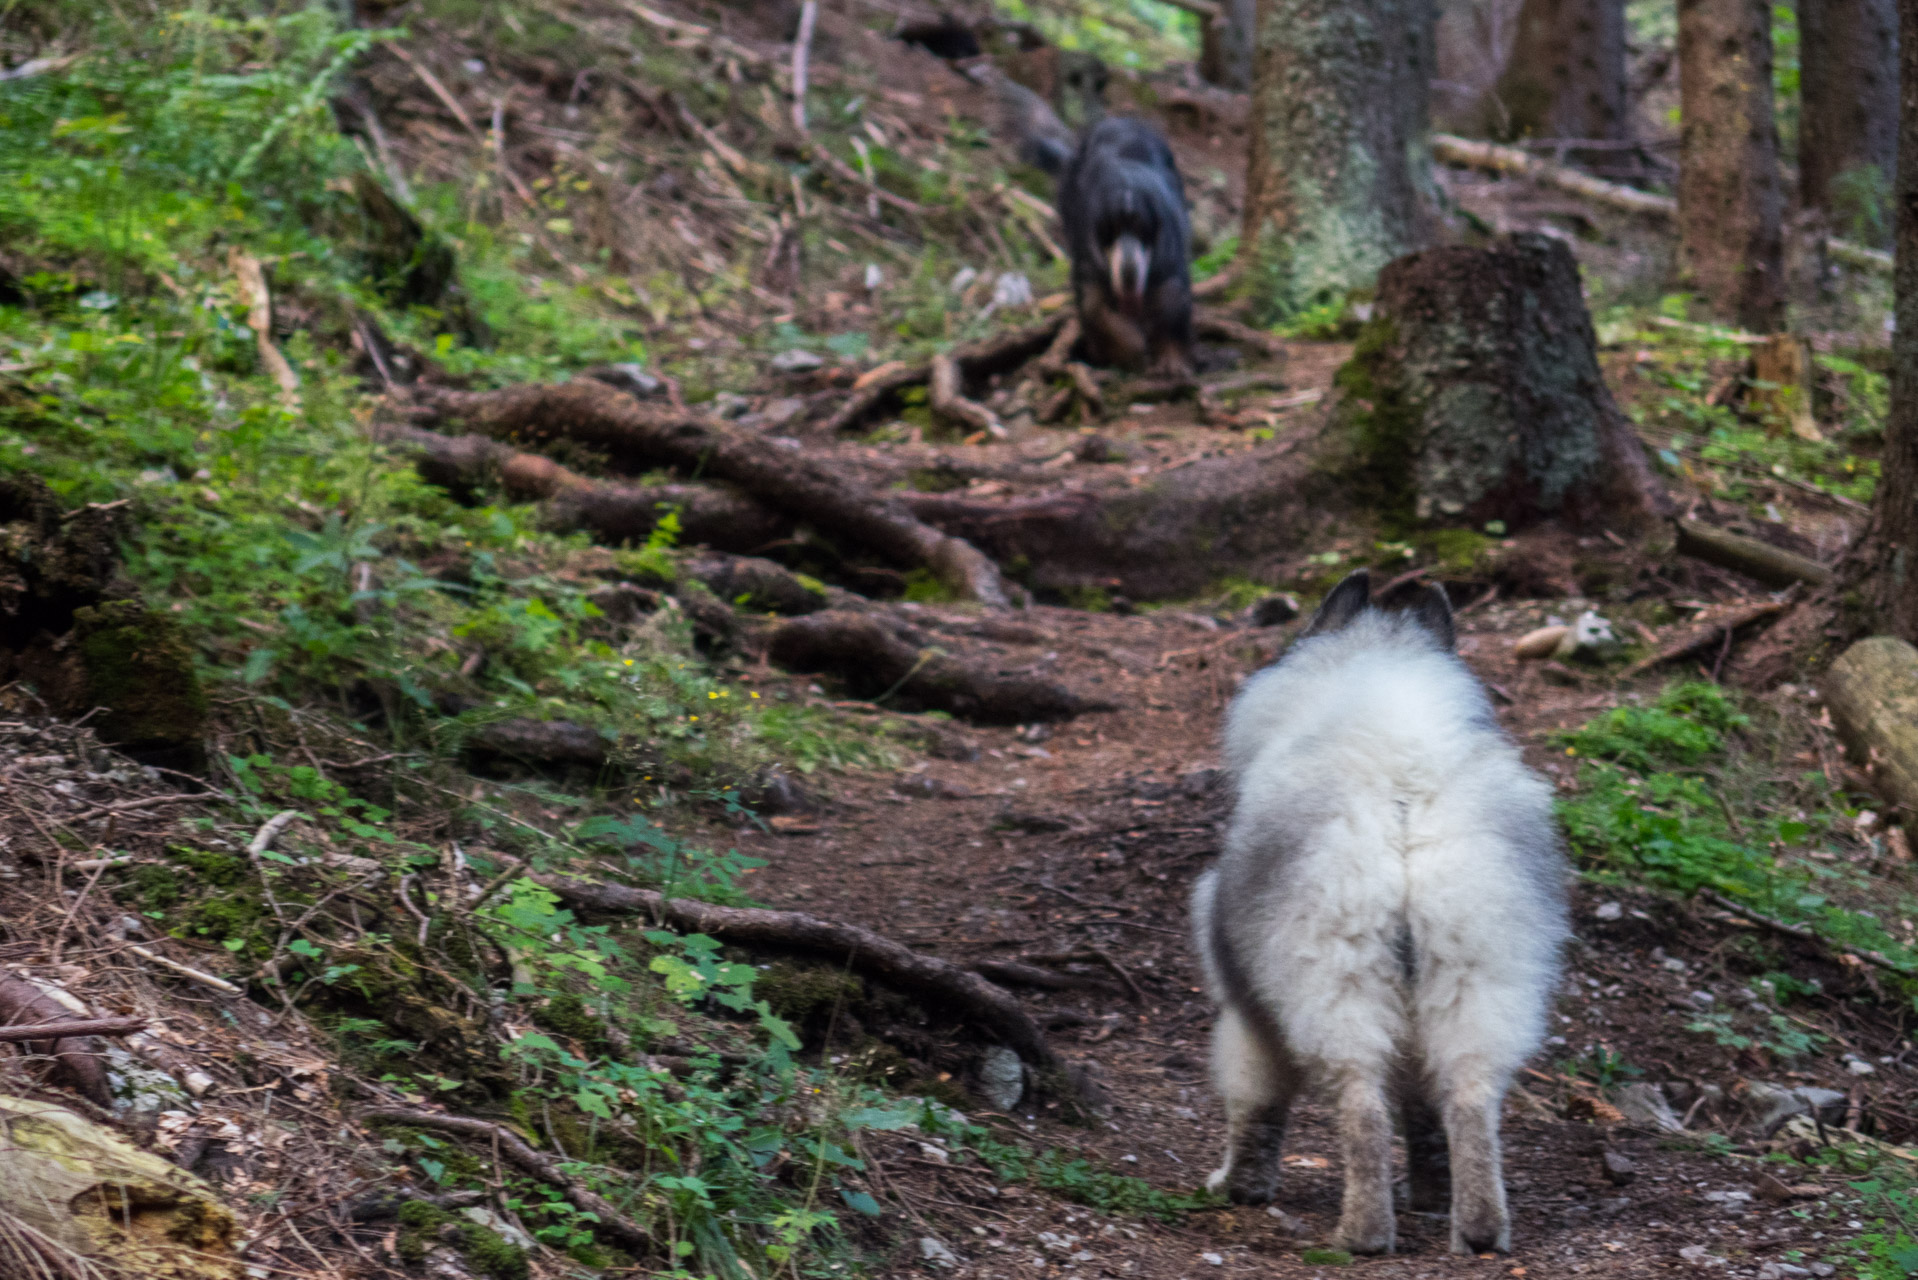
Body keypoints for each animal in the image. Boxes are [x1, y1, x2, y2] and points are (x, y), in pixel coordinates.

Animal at [1058, 117, 1189, 378]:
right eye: (1113, 229)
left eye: (1141, 228)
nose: (1129, 271)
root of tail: (1118, 119)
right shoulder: (1089, 266)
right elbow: (1097, 309)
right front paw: (1132, 353)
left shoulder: (1168, 260)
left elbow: (1172, 301)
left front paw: (1173, 360)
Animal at [1189, 571, 1565, 1251]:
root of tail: (1406, 810)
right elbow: (1422, 1113)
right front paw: (1430, 1196)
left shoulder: (1248, 1010)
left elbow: (1256, 1106)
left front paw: (1238, 1186)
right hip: (1475, 979)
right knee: (1467, 1100)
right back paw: (1475, 1228)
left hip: (1336, 984)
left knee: (1362, 1104)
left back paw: (1360, 1234)